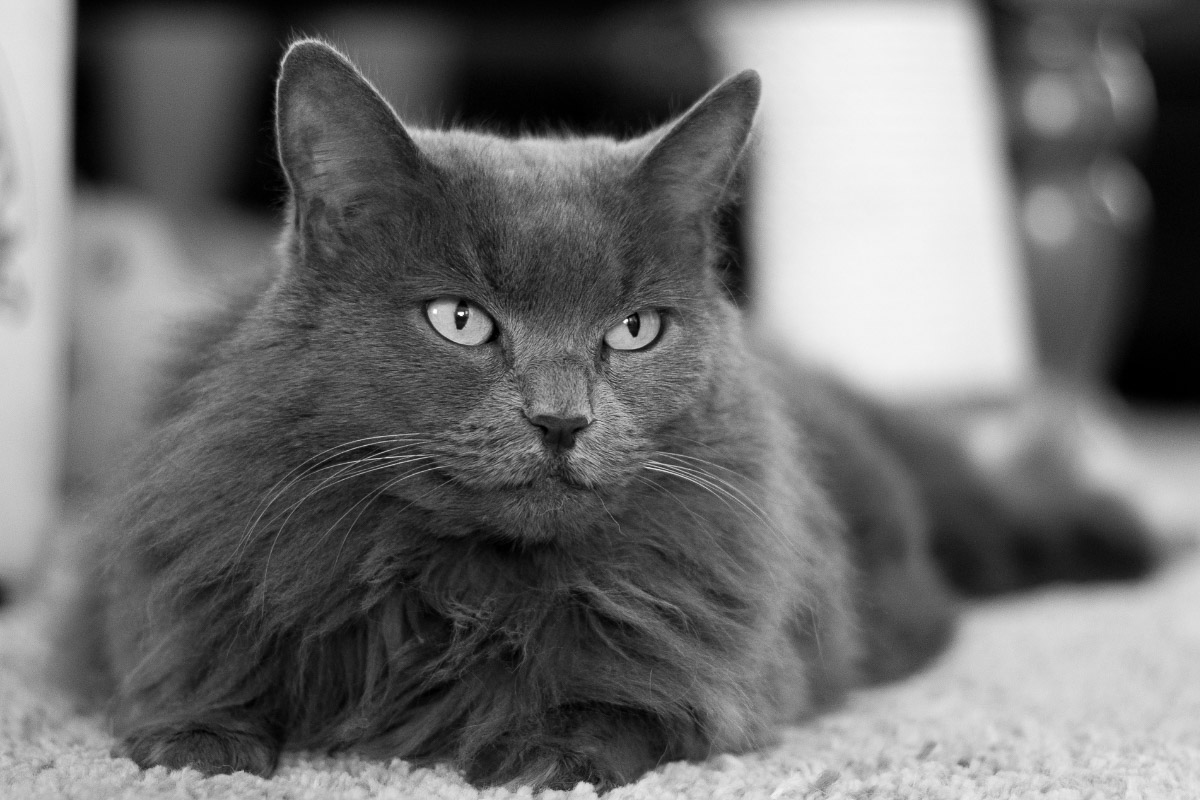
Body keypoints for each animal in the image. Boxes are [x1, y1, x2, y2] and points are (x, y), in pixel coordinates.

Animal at [58, 40, 1161, 791]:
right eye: (460, 319)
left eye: (632, 331)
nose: (562, 421)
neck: (457, 585)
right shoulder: (175, 573)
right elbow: (184, 659)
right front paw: (198, 740)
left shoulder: (725, 666)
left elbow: (629, 699)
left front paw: (544, 747)